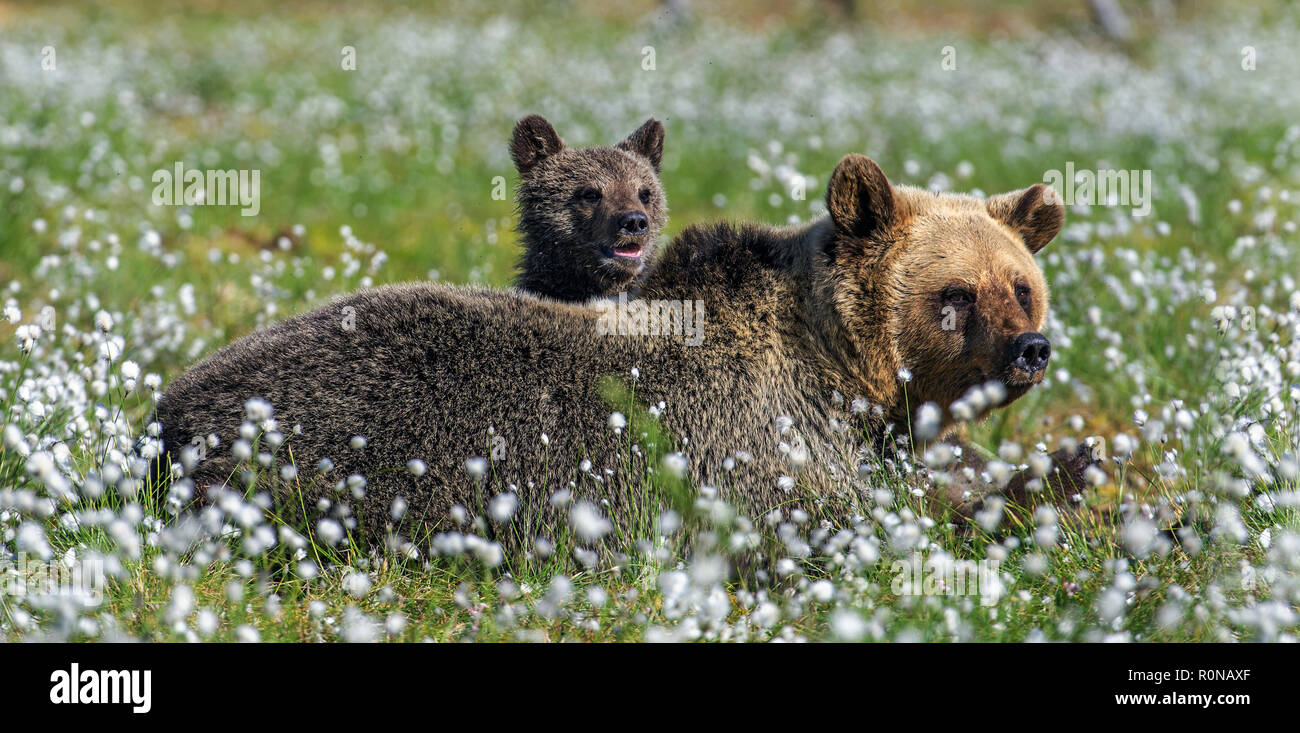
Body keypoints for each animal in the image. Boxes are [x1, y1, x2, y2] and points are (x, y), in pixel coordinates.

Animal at [155, 153, 1076, 547]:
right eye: (955, 294)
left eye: (1020, 284)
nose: (1029, 348)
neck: (837, 375)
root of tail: (166, 410)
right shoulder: (749, 444)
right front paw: (1037, 486)